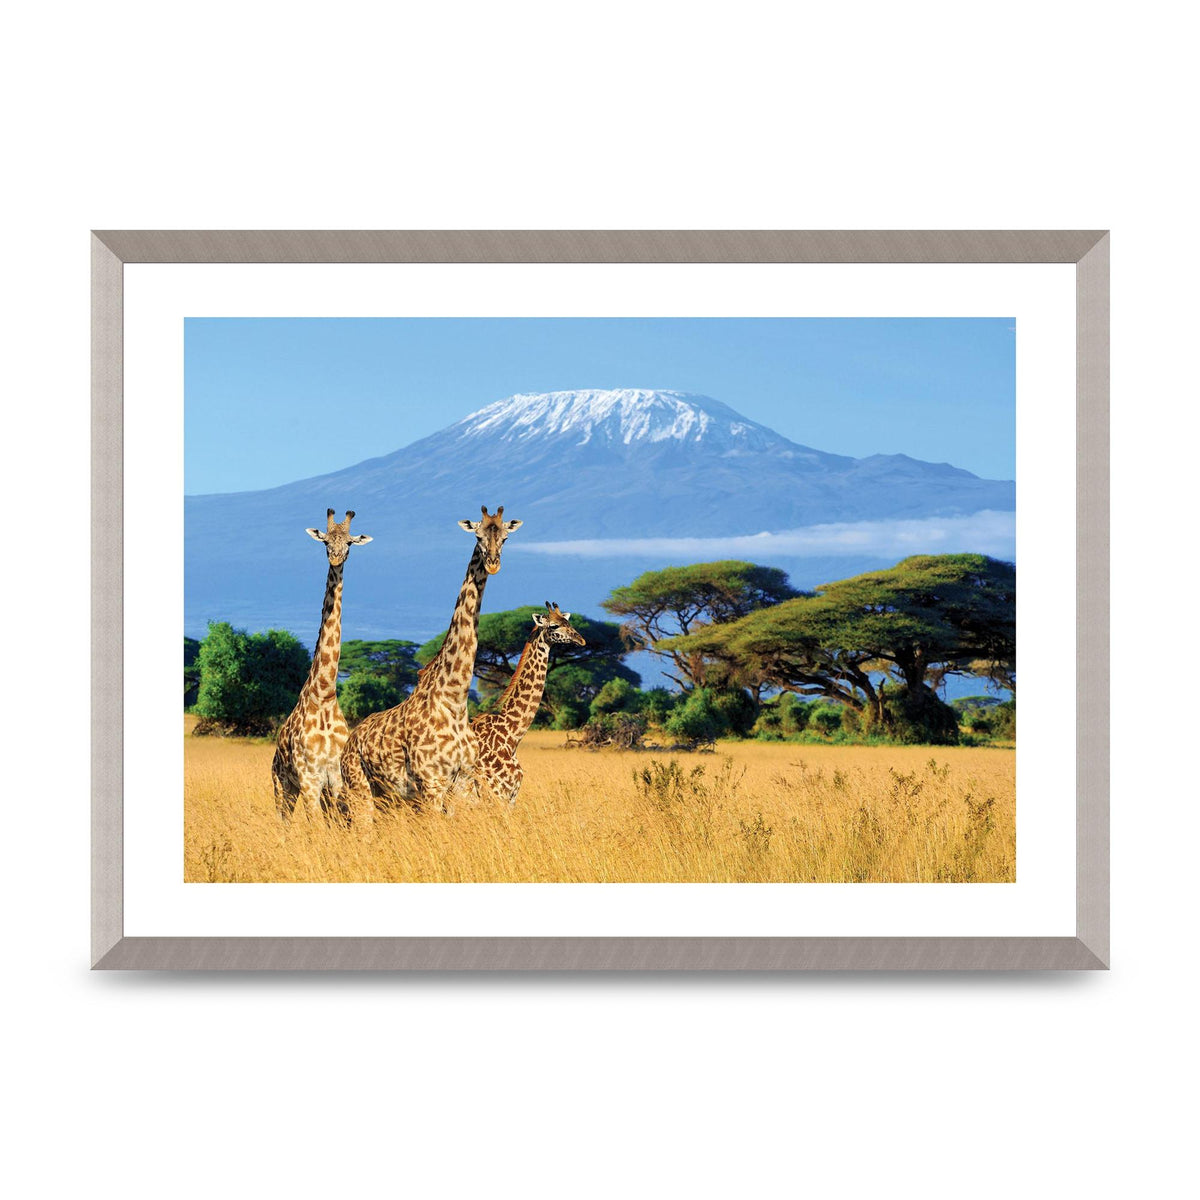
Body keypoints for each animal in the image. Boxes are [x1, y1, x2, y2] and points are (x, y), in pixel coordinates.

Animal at [271, 509, 372, 819]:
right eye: (325, 541)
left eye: (349, 543)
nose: (336, 558)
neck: (325, 694)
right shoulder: (309, 779)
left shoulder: (336, 779)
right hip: (282, 785)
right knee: (283, 821)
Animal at [340, 505, 522, 819]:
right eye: (477, 536)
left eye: (505, 537)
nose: (493, 564)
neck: (454, 699)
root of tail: (350, 741)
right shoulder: (431, 783)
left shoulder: (463, 782)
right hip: (359, 788)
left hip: (387, 796)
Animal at [472, 602, 585, 805]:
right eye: (554, 626)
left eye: (568, 622)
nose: (581, 640)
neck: (511, 736)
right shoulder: (497, 794)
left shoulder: (510, 797)